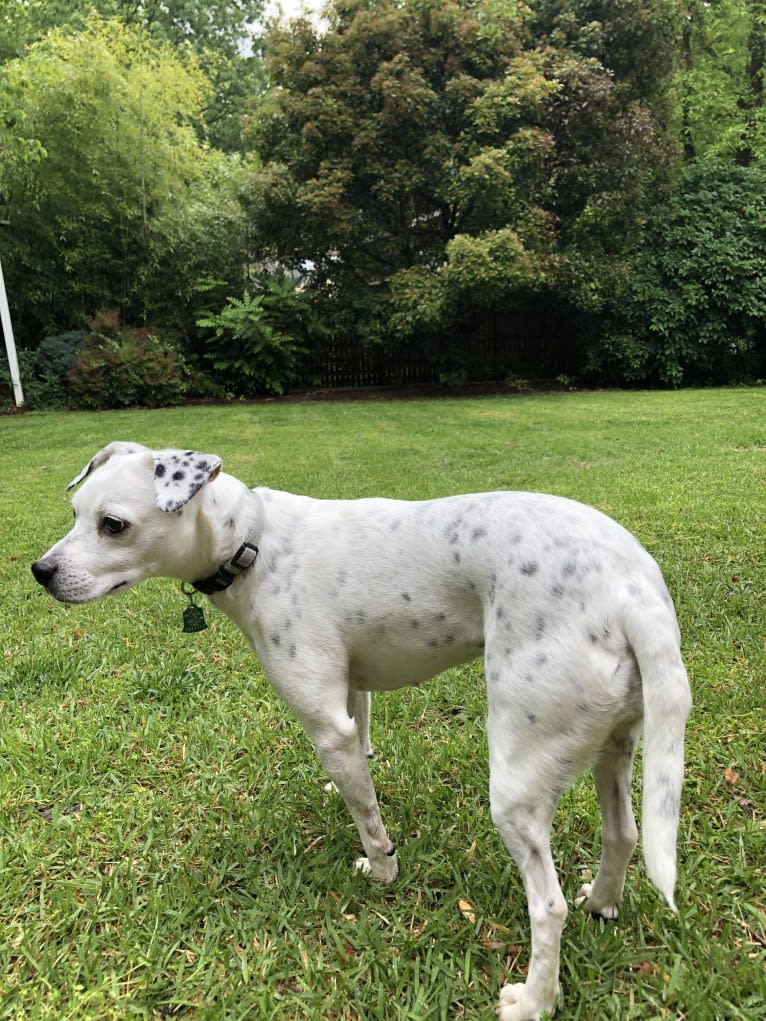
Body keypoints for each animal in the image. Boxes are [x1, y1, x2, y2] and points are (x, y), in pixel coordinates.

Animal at [30, 441, 694, 1021]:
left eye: (113, 525)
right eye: (74, 511)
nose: (40, 571)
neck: (253, 542)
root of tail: (632, 591)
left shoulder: (328, 727)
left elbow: (370, 820)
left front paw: (381, 871)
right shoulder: (353, 694)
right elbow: (364, 754)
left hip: (517, 783)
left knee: (547, 906)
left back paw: (534, 1001)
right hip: (614, 746)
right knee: (624, 835)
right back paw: (601, 904)